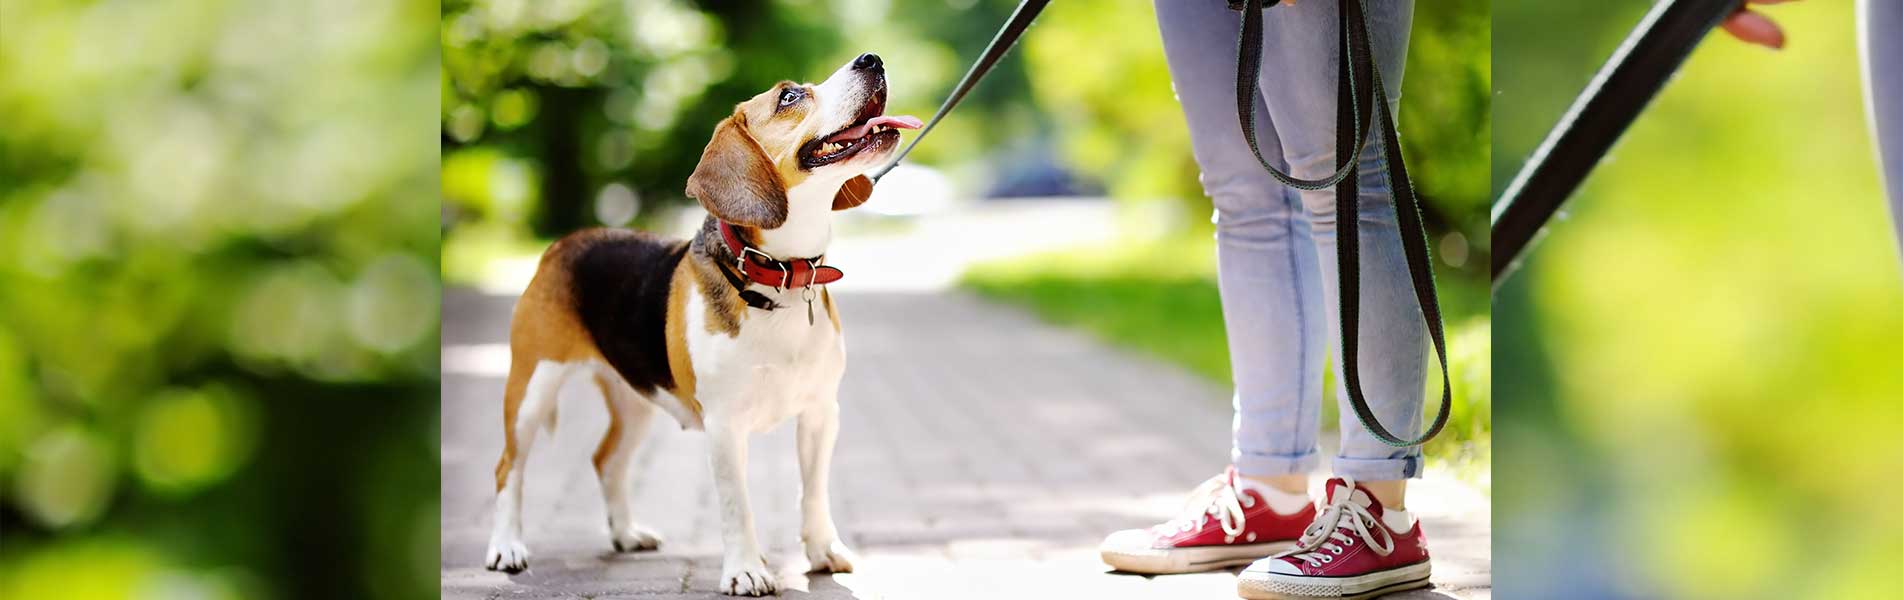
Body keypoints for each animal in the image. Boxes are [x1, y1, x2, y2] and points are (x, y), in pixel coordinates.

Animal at [479, 52, 917, 598]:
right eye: (789, 96)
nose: (871, 59)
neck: (779, 276)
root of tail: (564, 243)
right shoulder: (725, 426)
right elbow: (737, 505)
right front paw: (746, 570)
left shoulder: (820, 412)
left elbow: (813, 492)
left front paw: (821, 552)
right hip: (531, 388)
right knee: (508, 467)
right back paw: (506, 547)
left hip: (636, 397)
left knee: (606, 461)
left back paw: (626, 534)